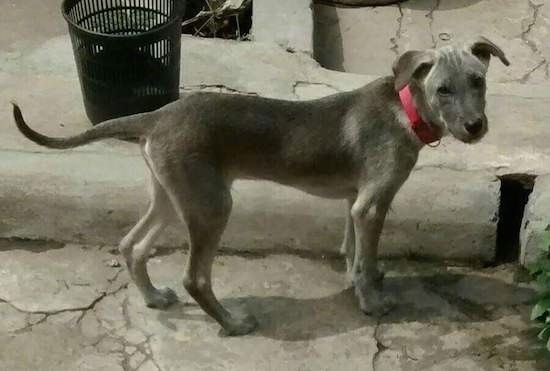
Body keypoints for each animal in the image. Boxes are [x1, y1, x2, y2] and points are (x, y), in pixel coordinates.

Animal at [12, 37, 512, 338]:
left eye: (478, 81)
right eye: (443, 89)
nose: (476, 127)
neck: (405, 109)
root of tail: (157, 115)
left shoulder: (355, 202)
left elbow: (353, 252)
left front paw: (361, 281)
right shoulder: (371, 205)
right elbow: (364, 258)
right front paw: (372, 303)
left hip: (174, 196)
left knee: (132, 245)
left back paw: (153, 297)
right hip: (212, 206)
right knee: (195, 277)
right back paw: (232, 323)